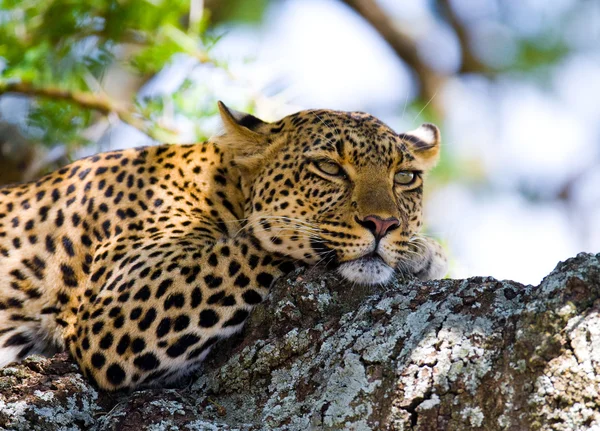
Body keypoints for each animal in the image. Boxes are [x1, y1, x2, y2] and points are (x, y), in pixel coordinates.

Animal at [0, 104, 446, 392]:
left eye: (405, 177)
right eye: (329, 168)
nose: (384, 224)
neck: (222, 184)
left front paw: (420, 253)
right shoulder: (119, 304)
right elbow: (260, 243)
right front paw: (425, 253)